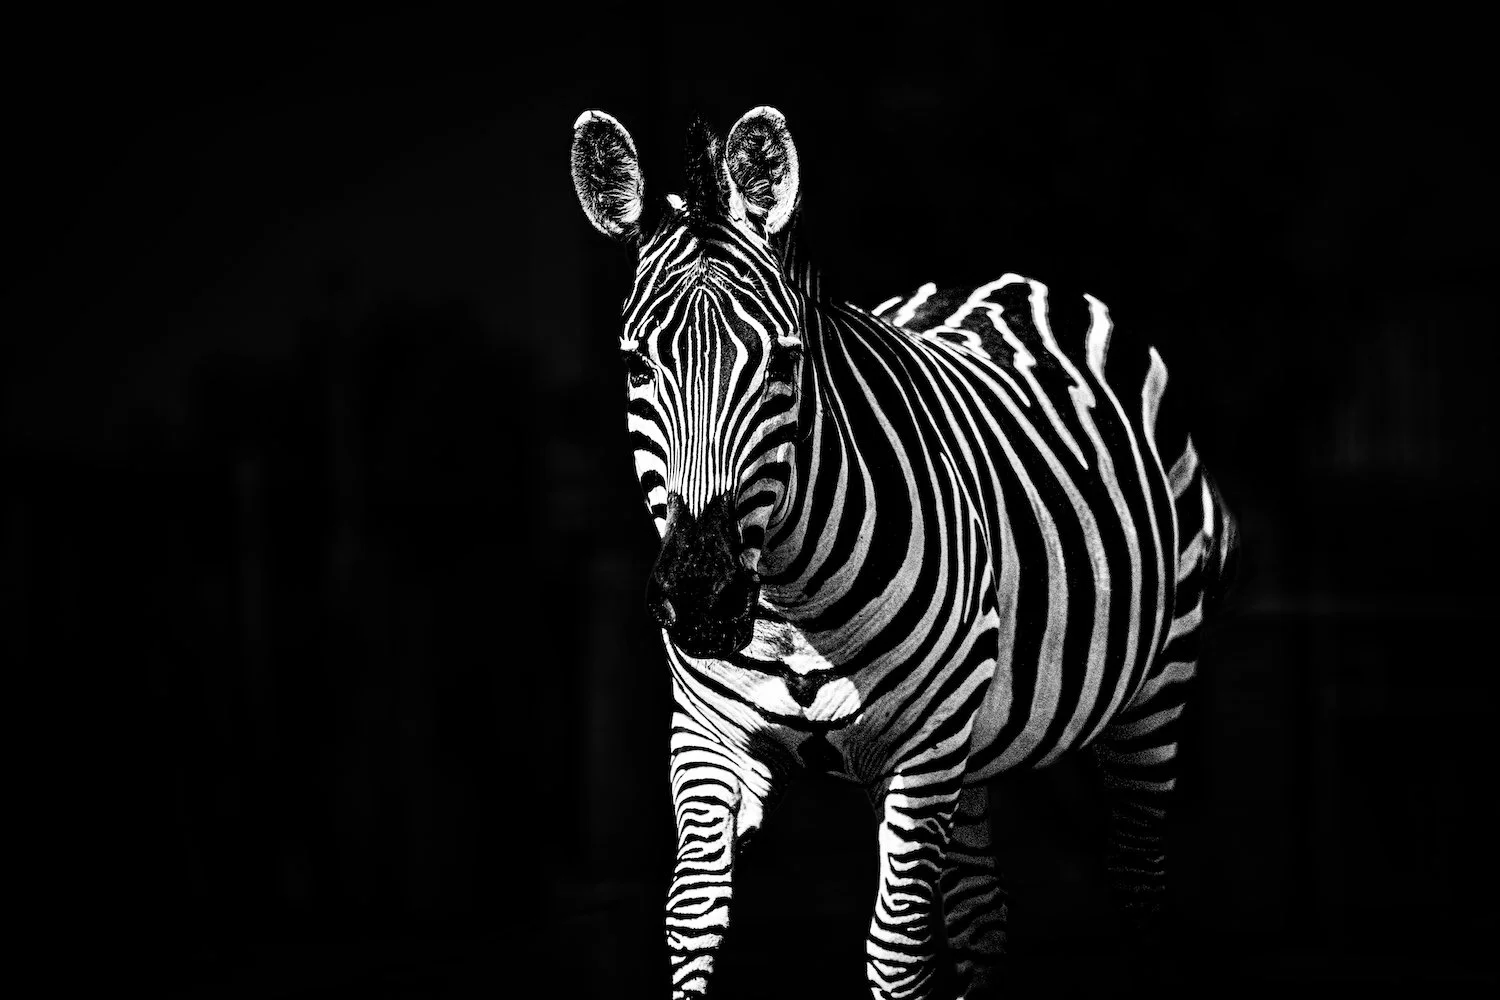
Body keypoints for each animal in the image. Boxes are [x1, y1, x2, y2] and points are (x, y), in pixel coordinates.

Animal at [570, 106, 1238, 999]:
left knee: (1136, 878)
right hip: (975, 748)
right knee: (983, 917)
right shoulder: (708, 735)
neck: (789, 604)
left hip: (1152, 691)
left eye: (785, 362)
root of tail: (1012, 281)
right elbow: (694, 915)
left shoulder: (923, 747)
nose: (702, 597)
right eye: (636, 363)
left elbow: (895, 949)